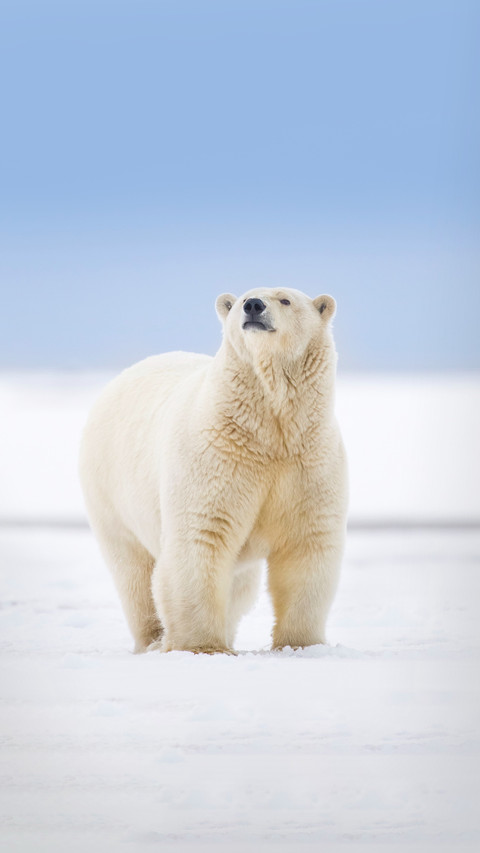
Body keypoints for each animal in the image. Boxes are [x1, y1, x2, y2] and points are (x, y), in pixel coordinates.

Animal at [79, 287, 348, 654]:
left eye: (285, 300)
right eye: (244, 298)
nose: (253, 306)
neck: (268, 431)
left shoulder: (308, 461)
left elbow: (305, 546)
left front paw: (301, 645)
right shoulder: (216, 456)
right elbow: (201, 538)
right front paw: (203, 646)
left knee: (239, 584)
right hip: (110, 493)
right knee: (134, 573)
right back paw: (154, 639)